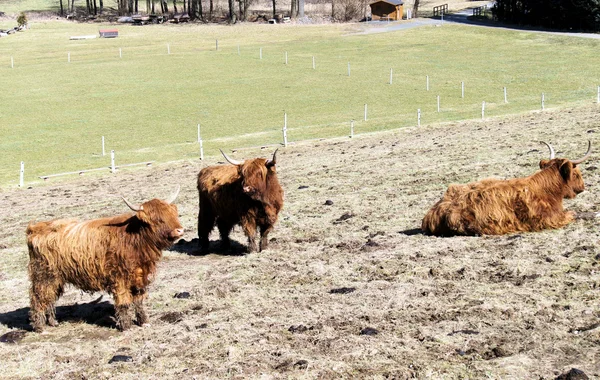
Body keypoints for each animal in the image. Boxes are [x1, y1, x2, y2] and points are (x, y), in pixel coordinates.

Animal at [25, 189, 184, 332]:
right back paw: (39, 327)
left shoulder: (139, 277)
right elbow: (123, 302)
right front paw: (126, 326)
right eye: (158, 219)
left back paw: (53, 322)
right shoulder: (119, 278)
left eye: (173, 214)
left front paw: (144, 321)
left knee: (49, 299)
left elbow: (139, 300)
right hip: (44, 276)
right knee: (38, 298)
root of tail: (34, 228)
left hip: (56, 279)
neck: (134, 239)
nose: (180, 230)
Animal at [422, 141, 592, 236]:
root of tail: (433, 212)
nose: (583, 187)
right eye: (576, 173)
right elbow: (574, 213)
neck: (546, 190)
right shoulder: (550, 218)